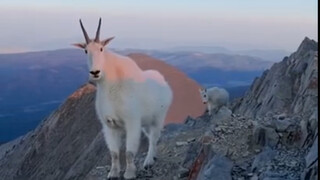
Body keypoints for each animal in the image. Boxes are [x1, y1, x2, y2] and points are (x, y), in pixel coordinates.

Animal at [73, 18, 172, 179]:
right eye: (85, 50)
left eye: (101, 48)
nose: (95, 72)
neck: (111, 88)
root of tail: (164, 81)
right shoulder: (110, 126)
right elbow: (114, 153)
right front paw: (113, 173)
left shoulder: (132, 122)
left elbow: (129, 152)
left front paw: (130, 173)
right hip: (145, 123)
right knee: (150, 136)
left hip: (158, 117)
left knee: (154, 138)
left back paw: (149, 161)